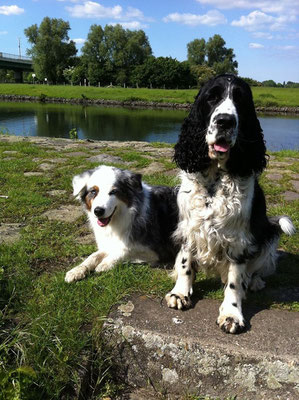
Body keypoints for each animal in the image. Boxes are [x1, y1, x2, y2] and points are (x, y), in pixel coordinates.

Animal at [166, 73, 296, 332]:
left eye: (241, 100)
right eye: (211, 97)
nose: (225, 121)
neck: (214, 180)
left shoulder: (238, 239)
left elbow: (235, 280)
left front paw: (231, 314)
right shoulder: (188, 226)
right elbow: (185, 263)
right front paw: (180, 293)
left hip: (268, 237)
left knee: (255, 269)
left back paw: (254, 282)